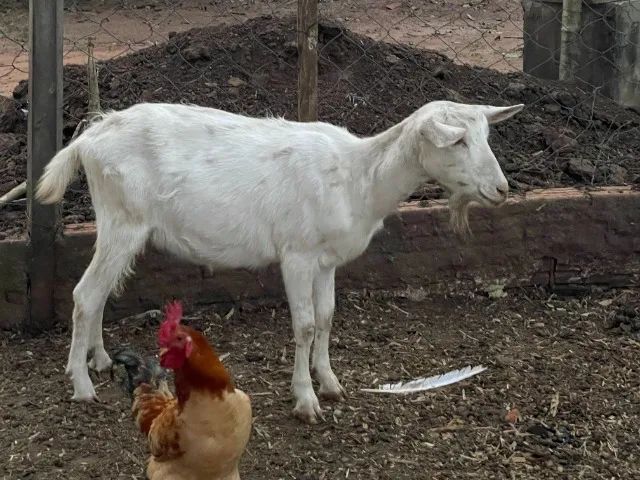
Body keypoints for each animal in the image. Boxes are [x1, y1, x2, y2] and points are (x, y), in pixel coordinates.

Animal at [37, 100, 523, 424]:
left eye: (485, 136)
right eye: (458, 140)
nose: (500, 189)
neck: (359, 178)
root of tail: (87, 139)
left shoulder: (326, 261)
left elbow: (327, 317)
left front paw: (331, 383)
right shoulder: (298, 254)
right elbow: (304, 325)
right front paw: (305, 400)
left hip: (114, 223)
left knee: (99, 292)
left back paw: (100, 360)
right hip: (124, 219)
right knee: (85, 294)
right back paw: (82, 386)